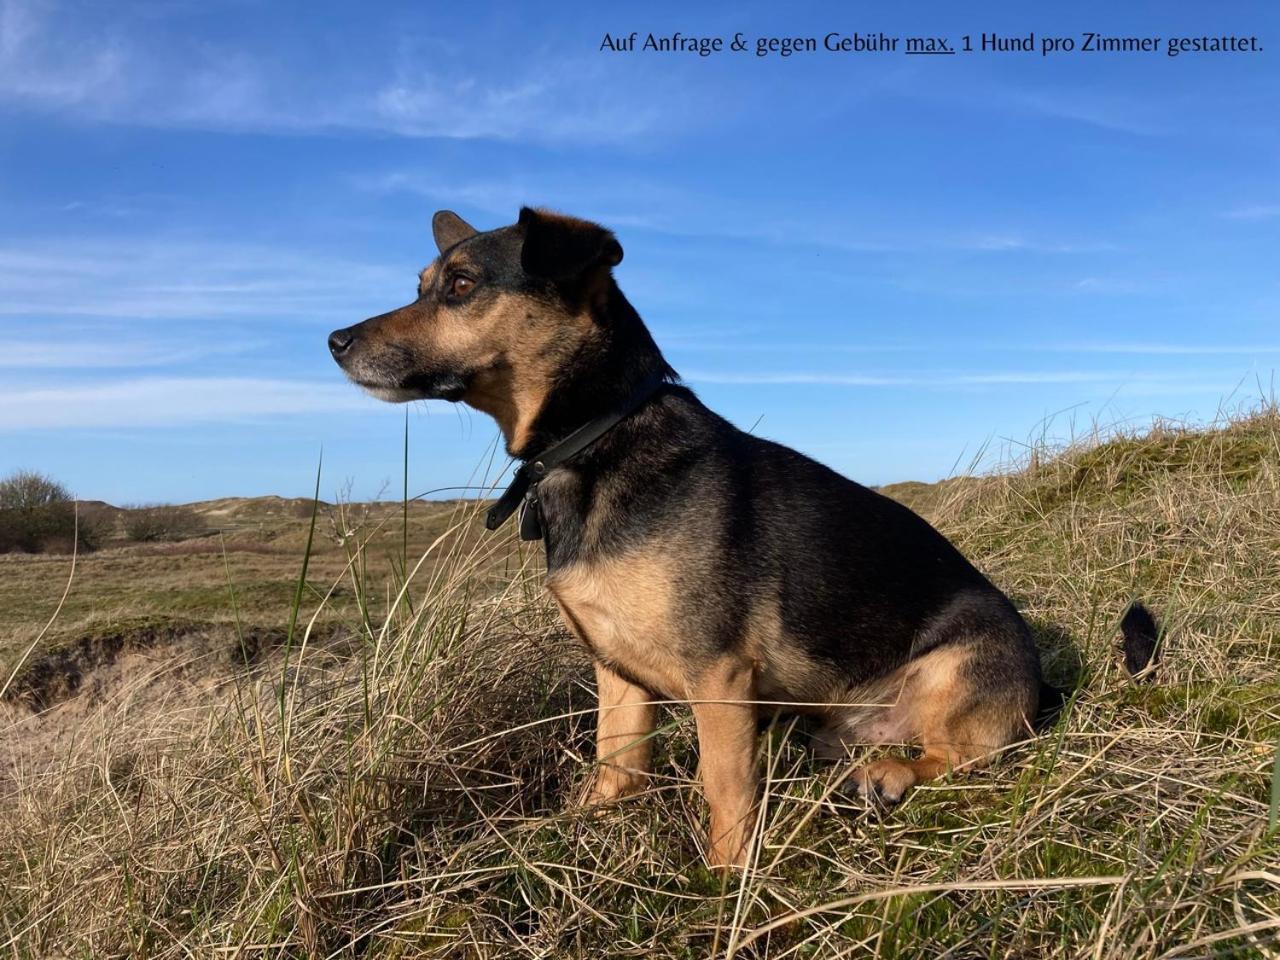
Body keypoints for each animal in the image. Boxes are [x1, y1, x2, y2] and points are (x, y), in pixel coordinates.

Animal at [322, 209, 1162, 870]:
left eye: (461, 285)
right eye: (423, 282)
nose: (333, 339)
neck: (598, 440)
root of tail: (1043, 688)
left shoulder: (718, 678)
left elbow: (724, 792)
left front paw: (725, 887)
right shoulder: (617, 675)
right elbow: (614, 767)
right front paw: (575, 830)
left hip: (954, 673)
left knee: (969, 754)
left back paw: (893, 775)